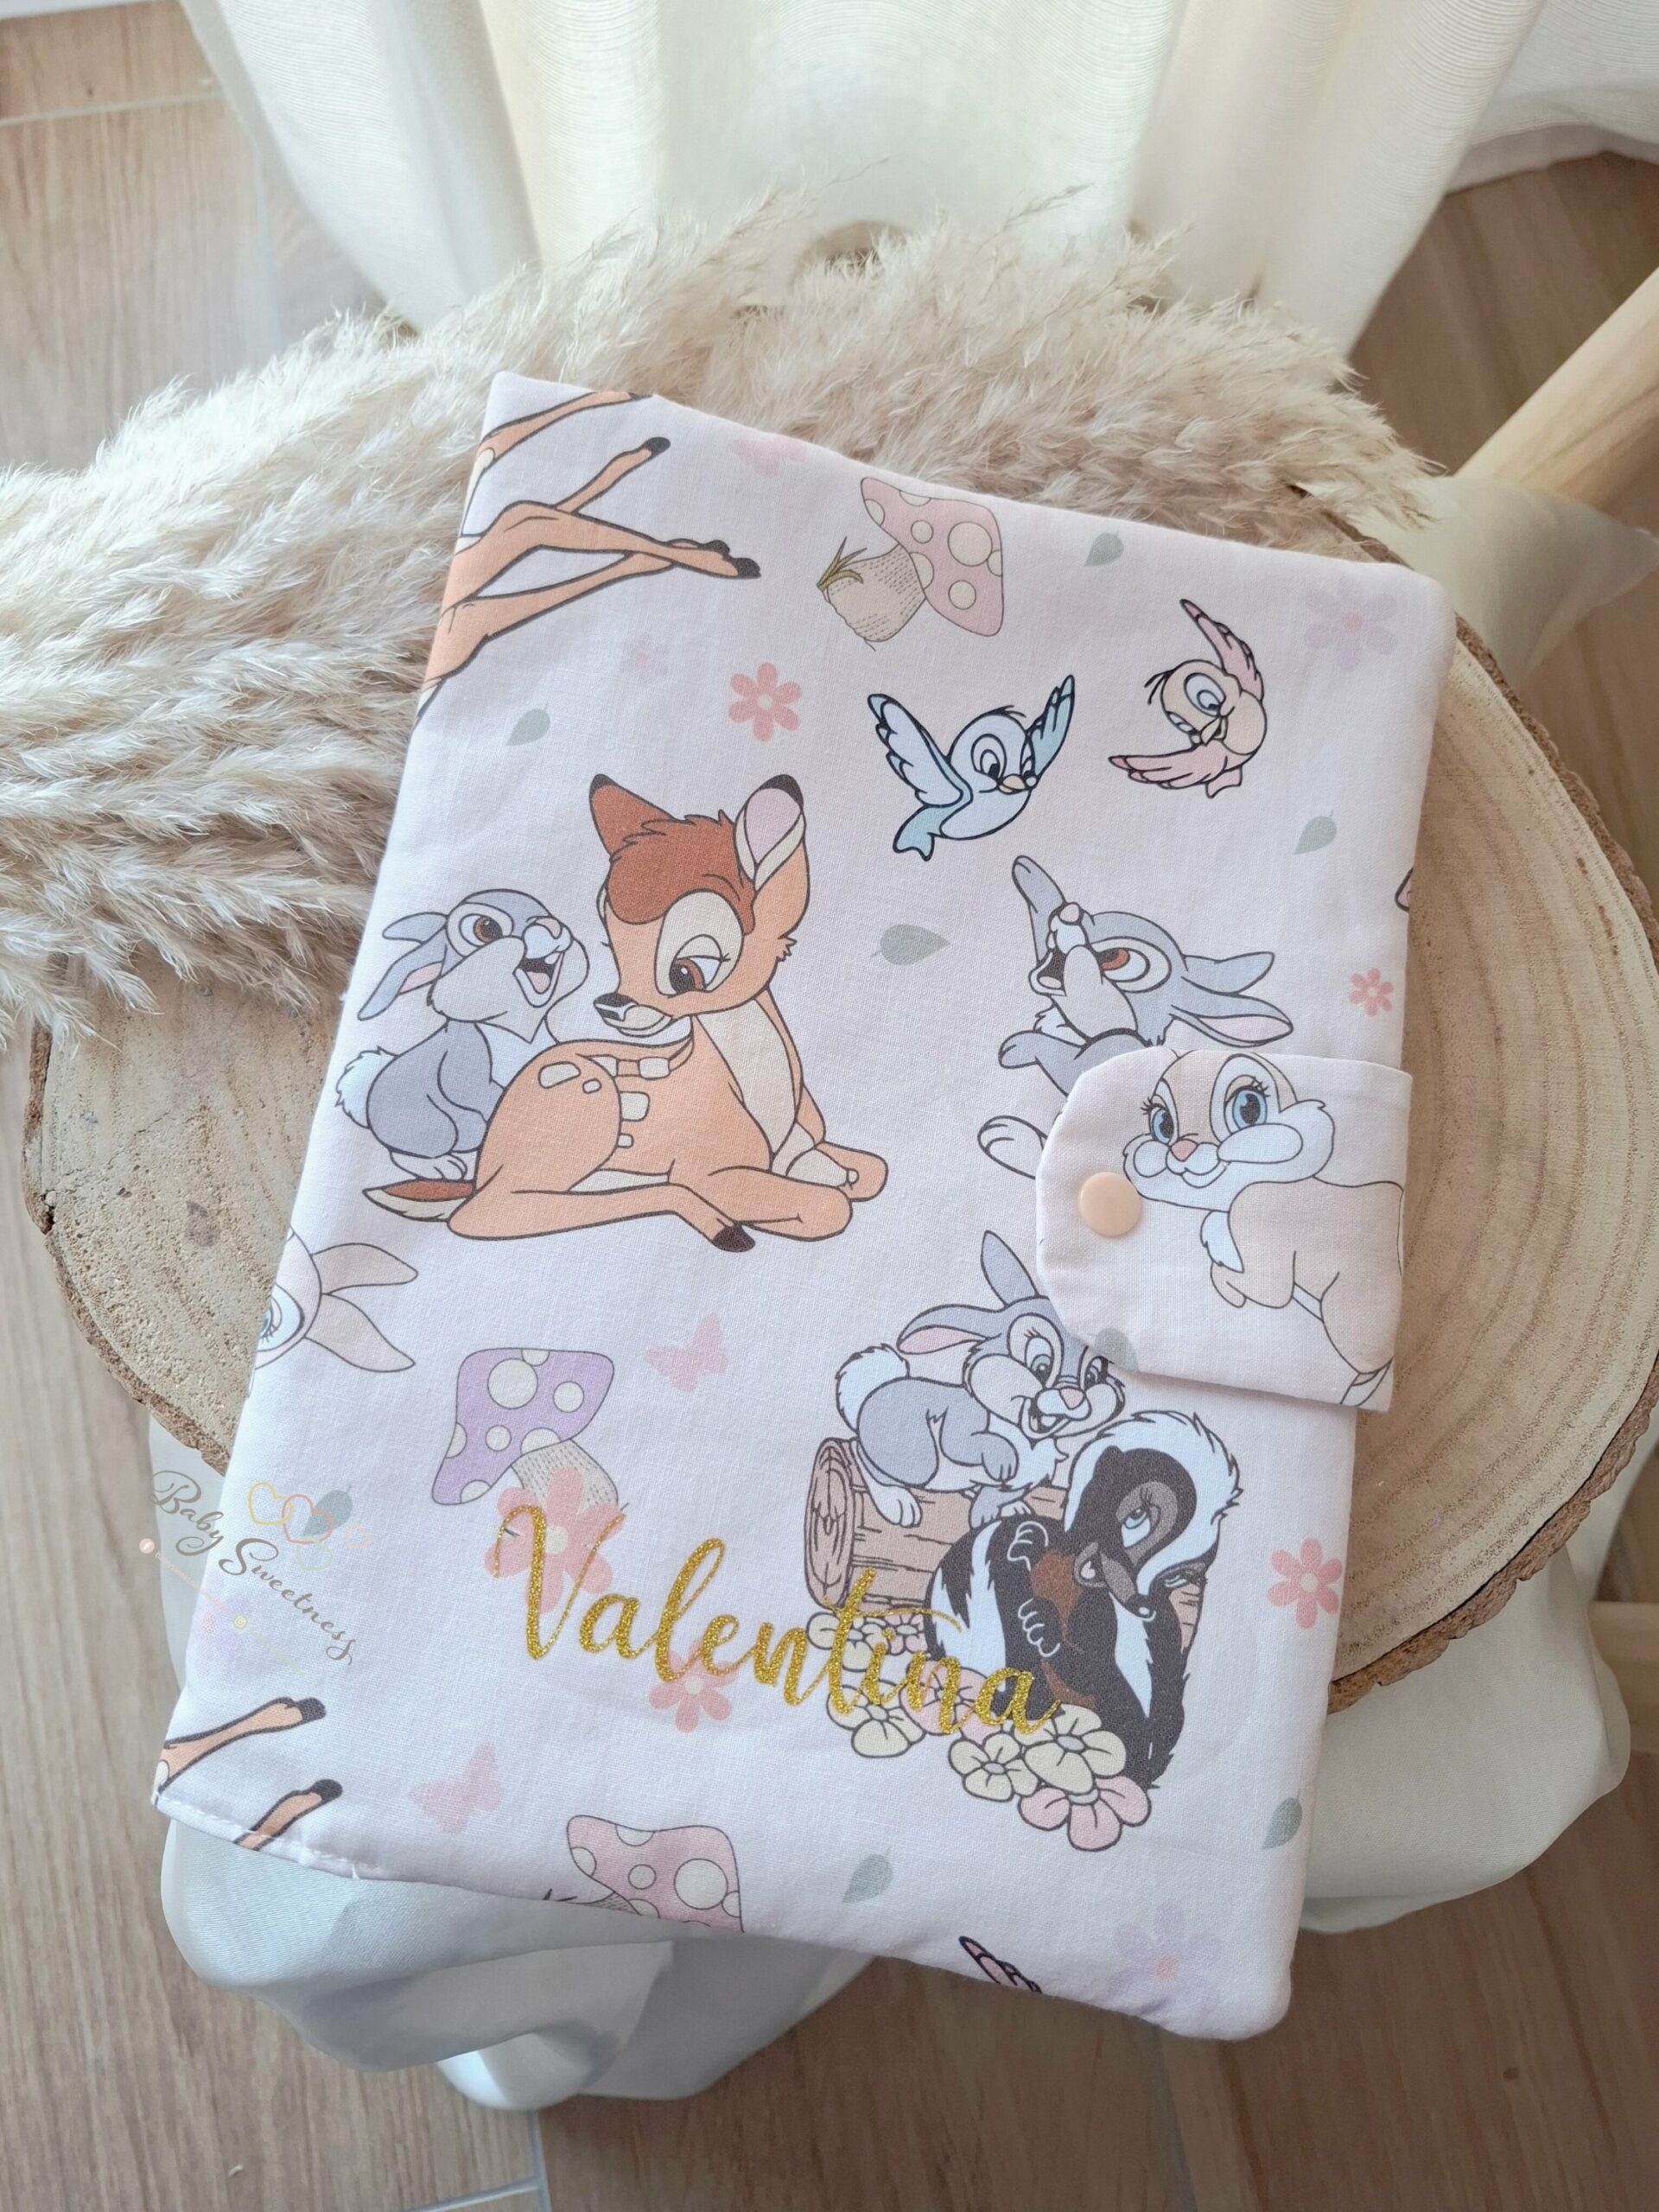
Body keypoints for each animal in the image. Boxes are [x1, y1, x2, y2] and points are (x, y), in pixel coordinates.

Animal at [336, 889, 587, 1181]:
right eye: (486, 928)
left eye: (545, 912)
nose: (552, 925)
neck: (519, 1035)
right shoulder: (462, 1063)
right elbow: (474, 1092)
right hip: (436, 1127)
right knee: (404, 1153)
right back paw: (442, 1167)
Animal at [835, 1232, 1124, 1529]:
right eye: (1041, 1366)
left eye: (1092, 1376)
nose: (1073, 1397)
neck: (1024, 1437)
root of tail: (872, 1393)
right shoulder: (963, 1420)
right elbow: (965, 1444)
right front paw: (1002, 1461)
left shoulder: (1027, 1477)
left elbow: (996, 1496)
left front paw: (991, 1514)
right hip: (915, 1456)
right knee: (861, 1453)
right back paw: (897, 1502)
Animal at [1124, 1049, 1404, 1405]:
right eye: (1163, 1124)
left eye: (1248, 1106)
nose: (1181, 1150)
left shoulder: (1254, 1214)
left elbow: (1262, 1289)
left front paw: (1230, 1294)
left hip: (1350, 1309)